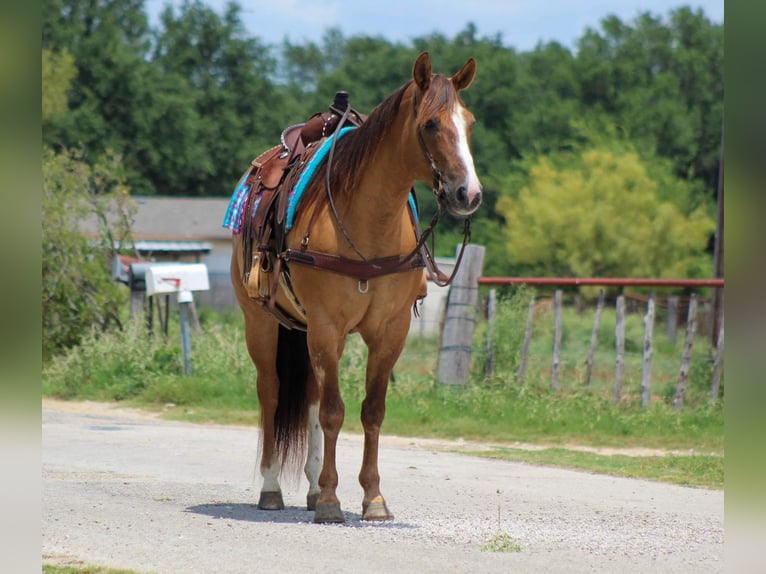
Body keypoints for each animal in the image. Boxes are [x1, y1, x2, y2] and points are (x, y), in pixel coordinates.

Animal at [229, 52, 482, 523]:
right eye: (431, 124)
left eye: (469, 122)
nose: (468, 194)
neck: (369, 225)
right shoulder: (327, 326)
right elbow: (333, 412)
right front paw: (331, 501)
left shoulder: (390, 331)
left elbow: (371, 411)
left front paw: (373, 498)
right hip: (262, 323)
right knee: (271, 393)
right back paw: (273, 488)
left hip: (304, 330)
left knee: (309, 395)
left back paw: (310, 488)